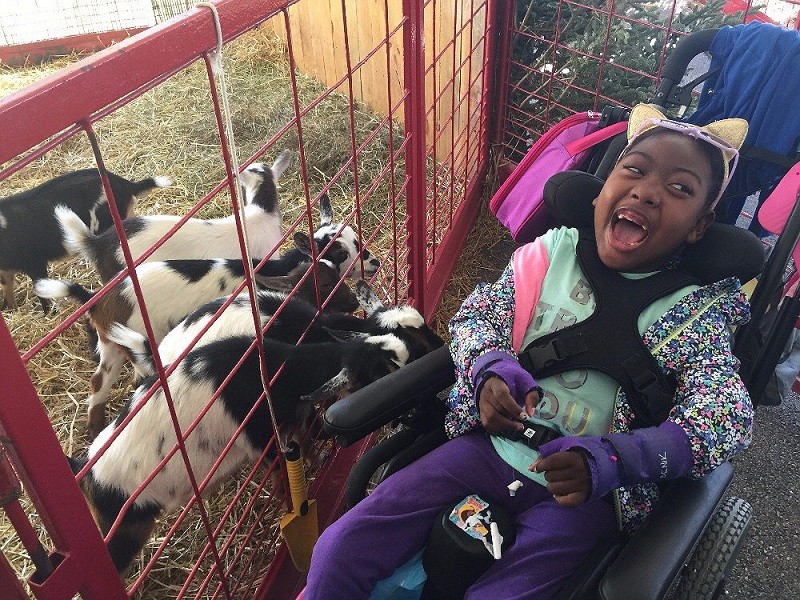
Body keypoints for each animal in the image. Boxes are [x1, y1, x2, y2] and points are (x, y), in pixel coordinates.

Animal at [0, 169, 169, 310]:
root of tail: (126, 185)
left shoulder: (35, 262)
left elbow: (39, 288)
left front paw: (49, 313)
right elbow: (7, 286)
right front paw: (9, 308)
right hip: (126, 214)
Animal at [67, 284, 444, 576]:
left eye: (419, 327)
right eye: (389, 369)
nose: (442, 350)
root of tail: (85, 469)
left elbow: (306, 432)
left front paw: (319, 454)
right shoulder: (266, 436)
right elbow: (289, 464)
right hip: (126, 529)